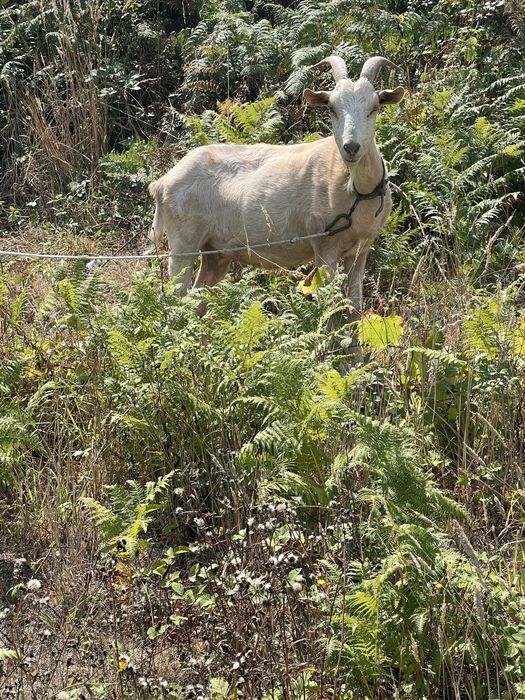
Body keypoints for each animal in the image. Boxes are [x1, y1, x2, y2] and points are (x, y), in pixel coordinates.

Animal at [147, 55, 404, 311]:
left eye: (374, 107)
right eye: (332, 108)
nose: (351, 147)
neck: (356, 190)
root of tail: (161, 183)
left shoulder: (361, 250)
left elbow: (355, 307)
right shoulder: (325, 247)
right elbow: (329, 309)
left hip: (215, 251)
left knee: (197, 301)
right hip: (183, 243)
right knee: (179, 298)